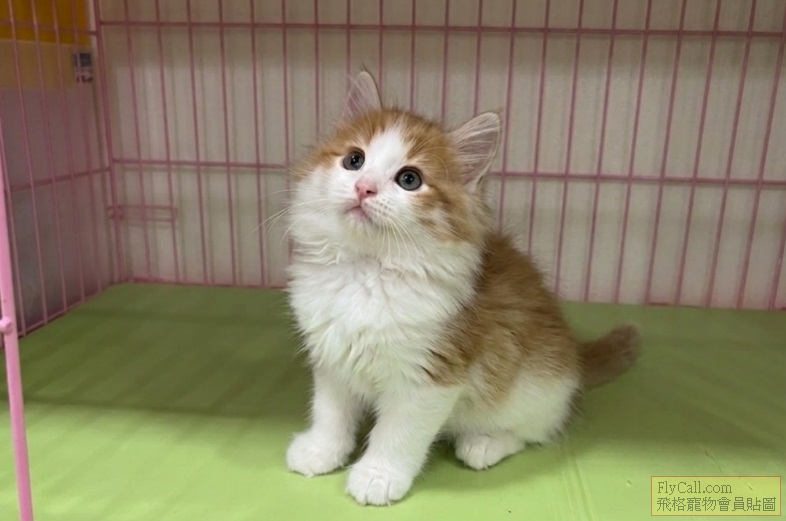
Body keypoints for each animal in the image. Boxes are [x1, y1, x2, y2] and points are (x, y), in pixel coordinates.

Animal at [283, 70, 641, 506]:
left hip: (533, 390)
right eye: (355, 160)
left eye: (409, 179)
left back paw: (484, 443)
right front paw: (321, 450)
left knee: (536, 430)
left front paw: (378, 475)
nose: (364, 187)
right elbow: (330, 411)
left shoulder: (430, 374)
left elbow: (398, 433)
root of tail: (576, 357)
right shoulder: (332, 355)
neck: (367, 269)